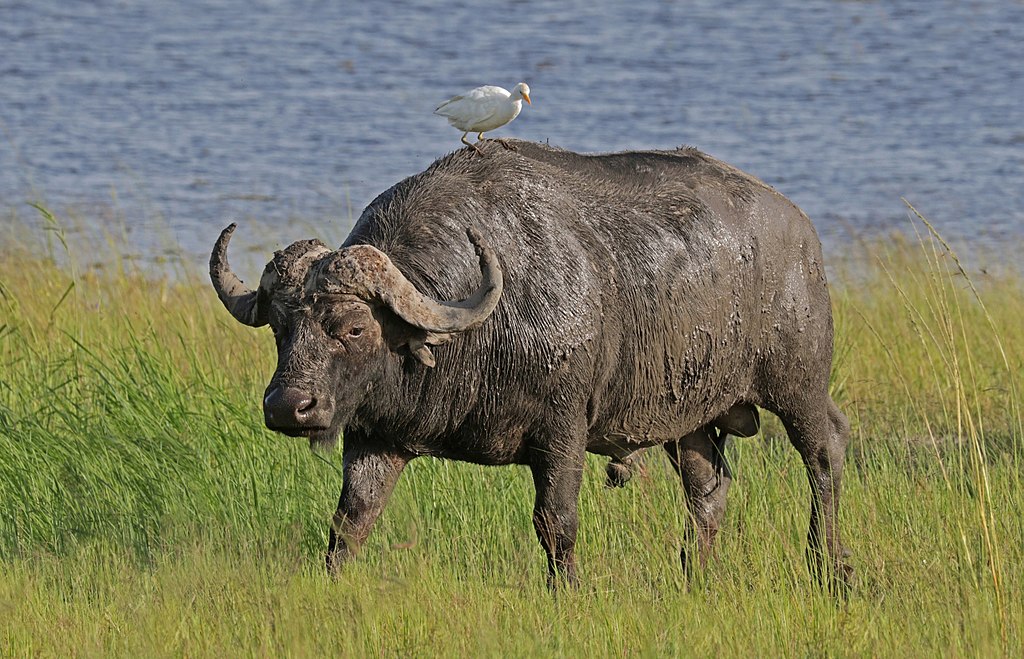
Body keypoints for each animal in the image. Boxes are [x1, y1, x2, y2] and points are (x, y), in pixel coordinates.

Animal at [207, 139, 847, 585]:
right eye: (282, 328)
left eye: (354, 327)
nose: (289, 407)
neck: (478, 334)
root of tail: (800, 229)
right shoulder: (375, 436)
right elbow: (351, 520)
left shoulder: (562, 432)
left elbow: (555, 522)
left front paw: (567, 590)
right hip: (688, 418)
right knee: (708, 490)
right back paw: (691, 576)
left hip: (798, 386)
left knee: (826, 454)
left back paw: (831, 568)